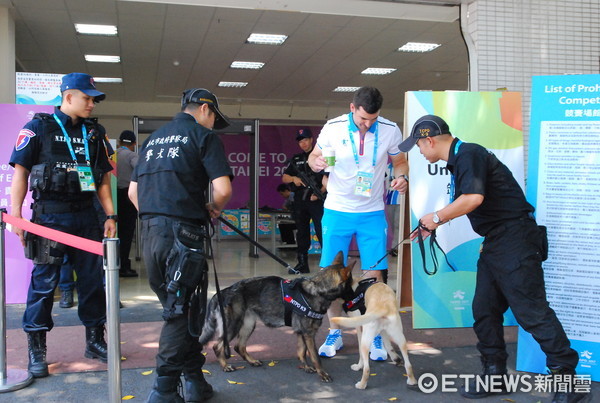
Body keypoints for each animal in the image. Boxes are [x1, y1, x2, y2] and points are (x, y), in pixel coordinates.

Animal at [199, 252, 354, 382]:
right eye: (350, 285)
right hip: (233, 326)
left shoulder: (301, 333)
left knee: (239, 346)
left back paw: (251, 361)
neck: (316, 290)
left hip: (248, 325)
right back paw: (225, 365)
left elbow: (301, 351)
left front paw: (305, 367)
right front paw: (321, 373)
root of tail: (224, 291)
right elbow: (315, 356)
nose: (355, 297)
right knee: (217, 346)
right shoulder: (308, 334)